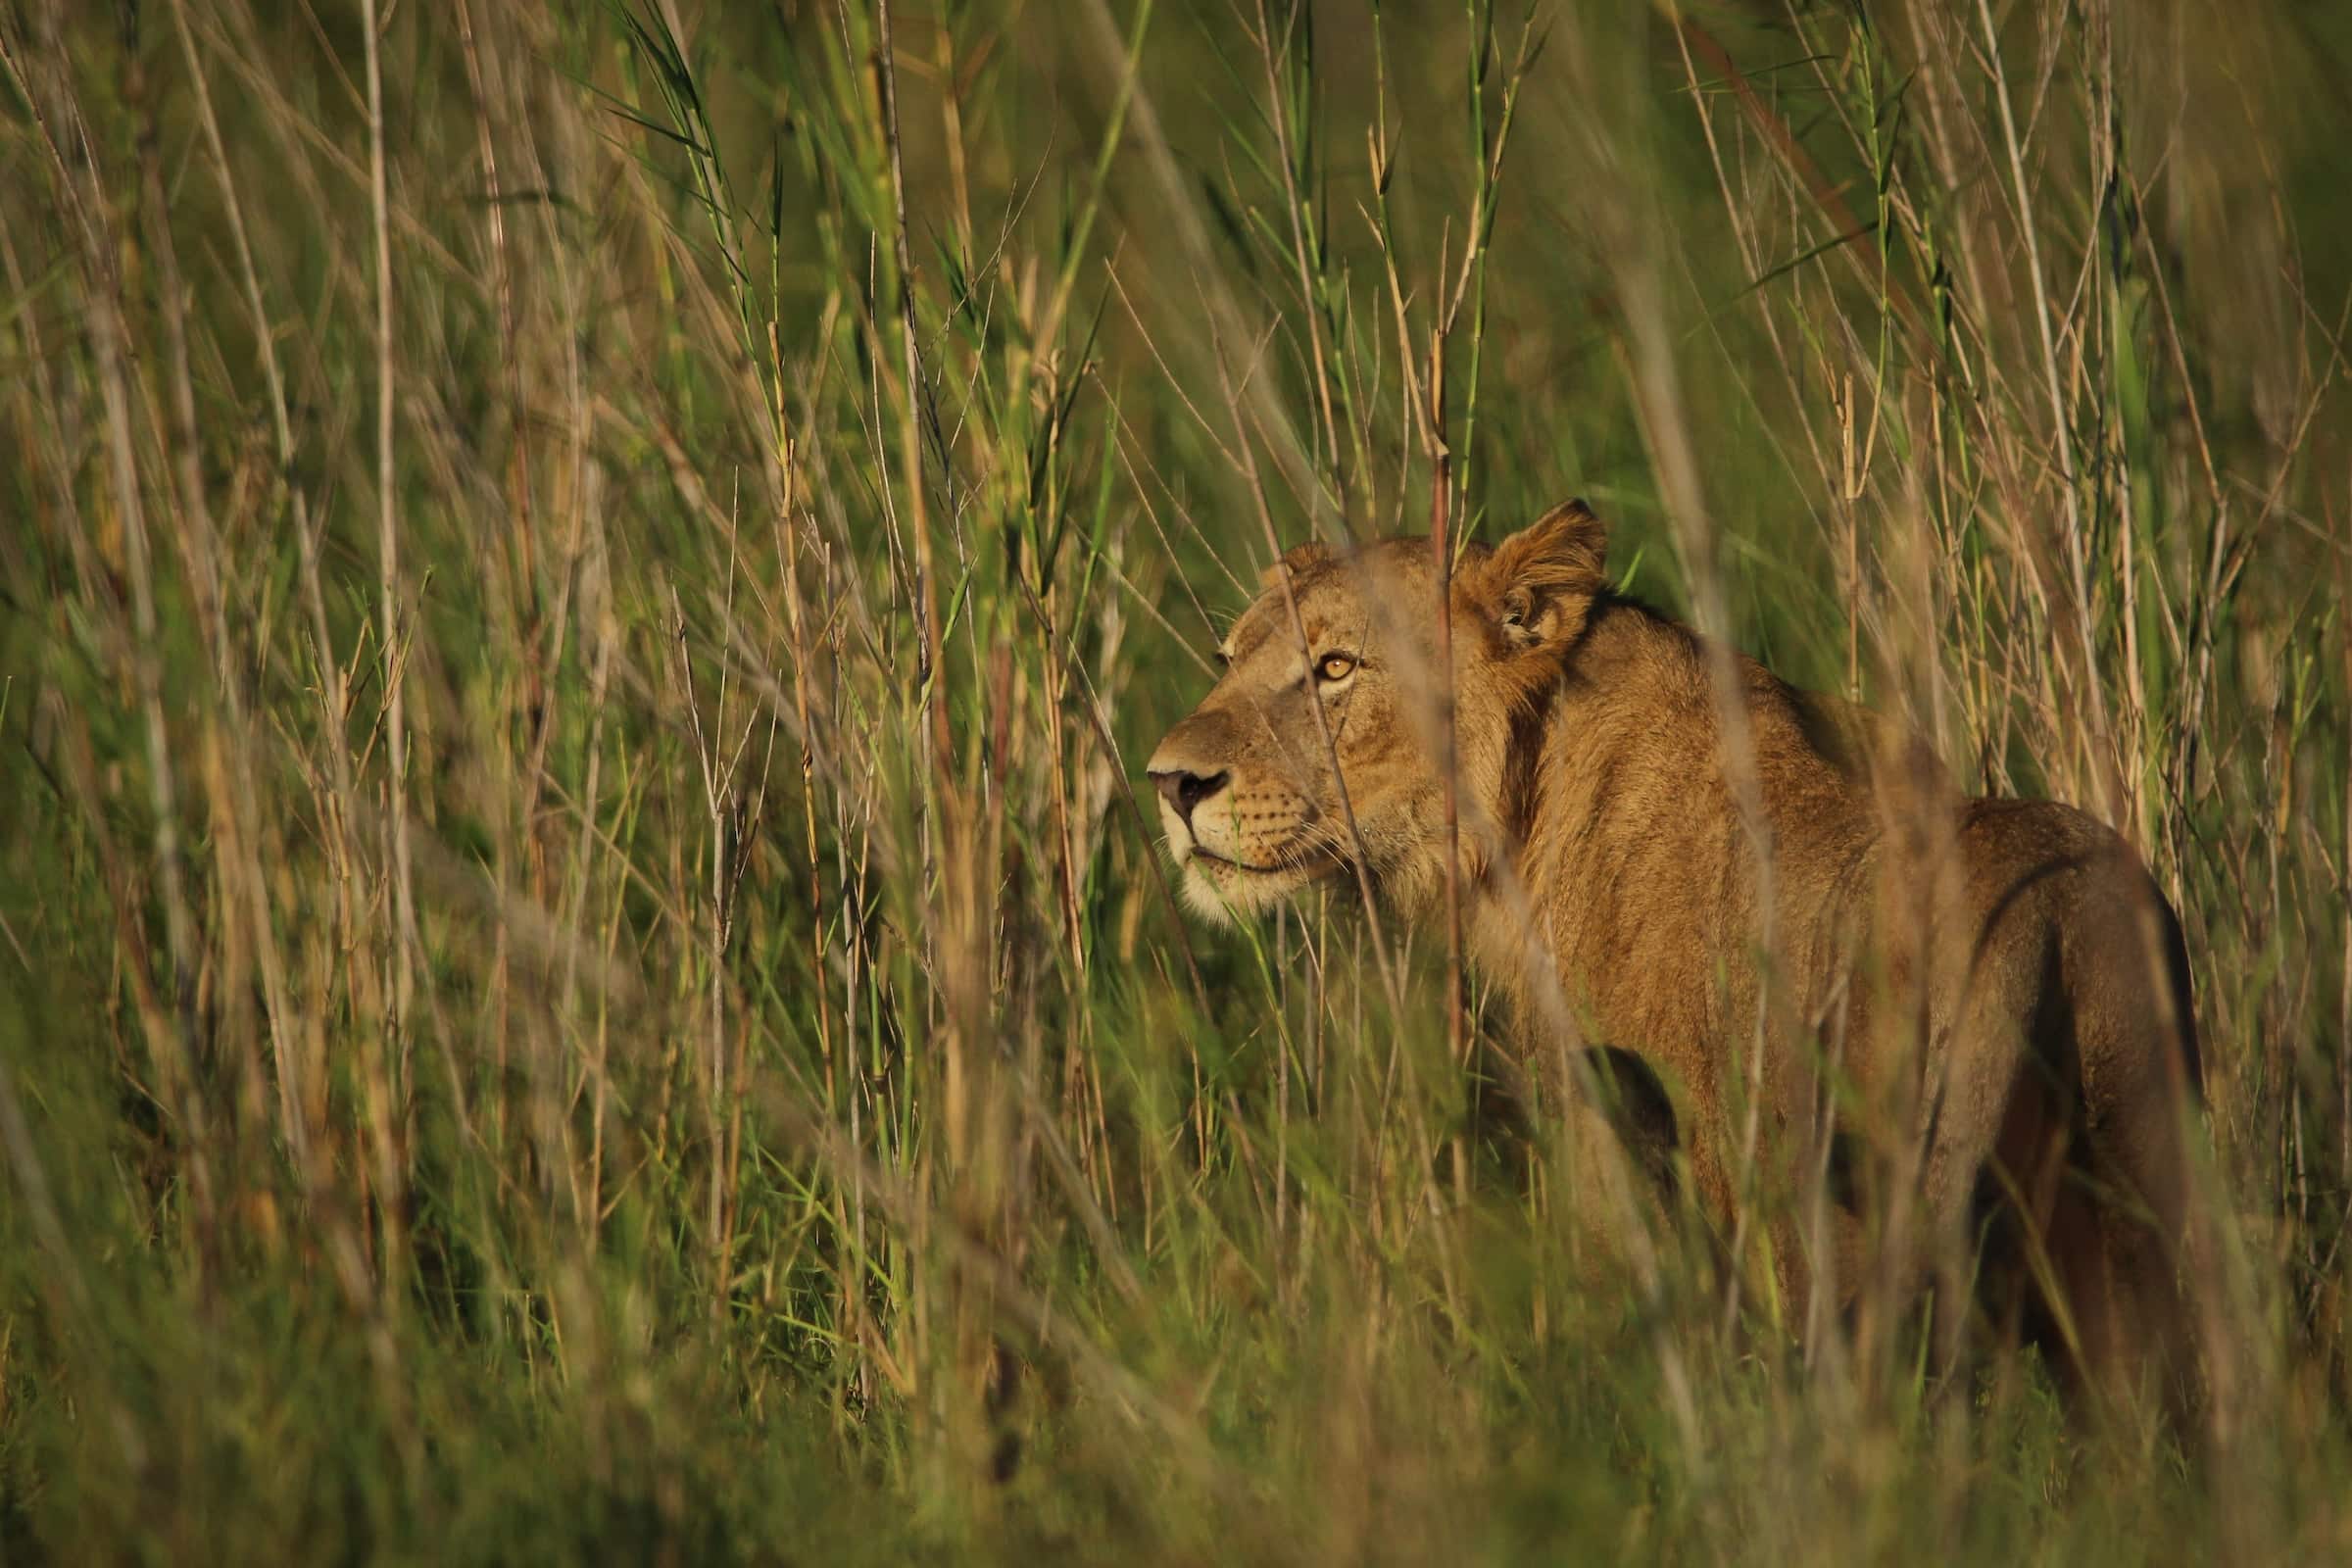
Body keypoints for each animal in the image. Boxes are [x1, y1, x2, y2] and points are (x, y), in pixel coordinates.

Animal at [1148, 503, 2211, 1419]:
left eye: (1336, 666)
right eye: (1226, 658)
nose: (1169, 783)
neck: (1526, 800)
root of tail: (2049, 898)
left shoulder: (1616, 1158)